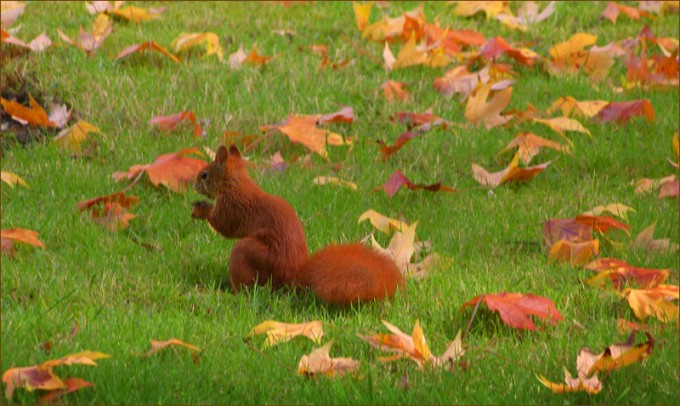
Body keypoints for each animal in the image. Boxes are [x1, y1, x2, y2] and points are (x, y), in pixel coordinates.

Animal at [191, 145, 404, 306]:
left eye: (204, 174)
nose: (194, 185)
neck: (235, 182)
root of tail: (292, 280)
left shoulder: (232, 206)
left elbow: (224, 225)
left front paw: (201, 210)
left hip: (250, 253)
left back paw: (230, 292)